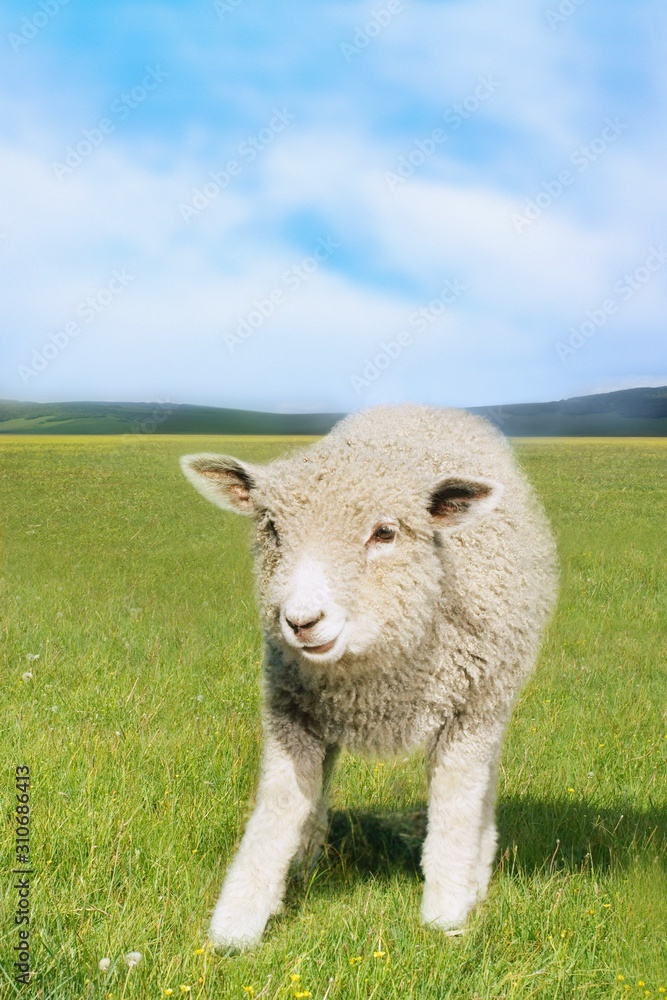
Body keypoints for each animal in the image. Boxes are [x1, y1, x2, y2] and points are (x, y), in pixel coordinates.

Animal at [180, 404, 558, 950]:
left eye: (385, 533)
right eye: (271, 529)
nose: (301, 621)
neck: (377, 679)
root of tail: (425, 408)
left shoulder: (468, 714)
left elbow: (456, 807)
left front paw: (446, 914)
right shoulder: (289, 709)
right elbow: (279, 805)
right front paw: (238, 921)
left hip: (493, 700)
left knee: (481, 783)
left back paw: (477, 870)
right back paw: (305, 859)